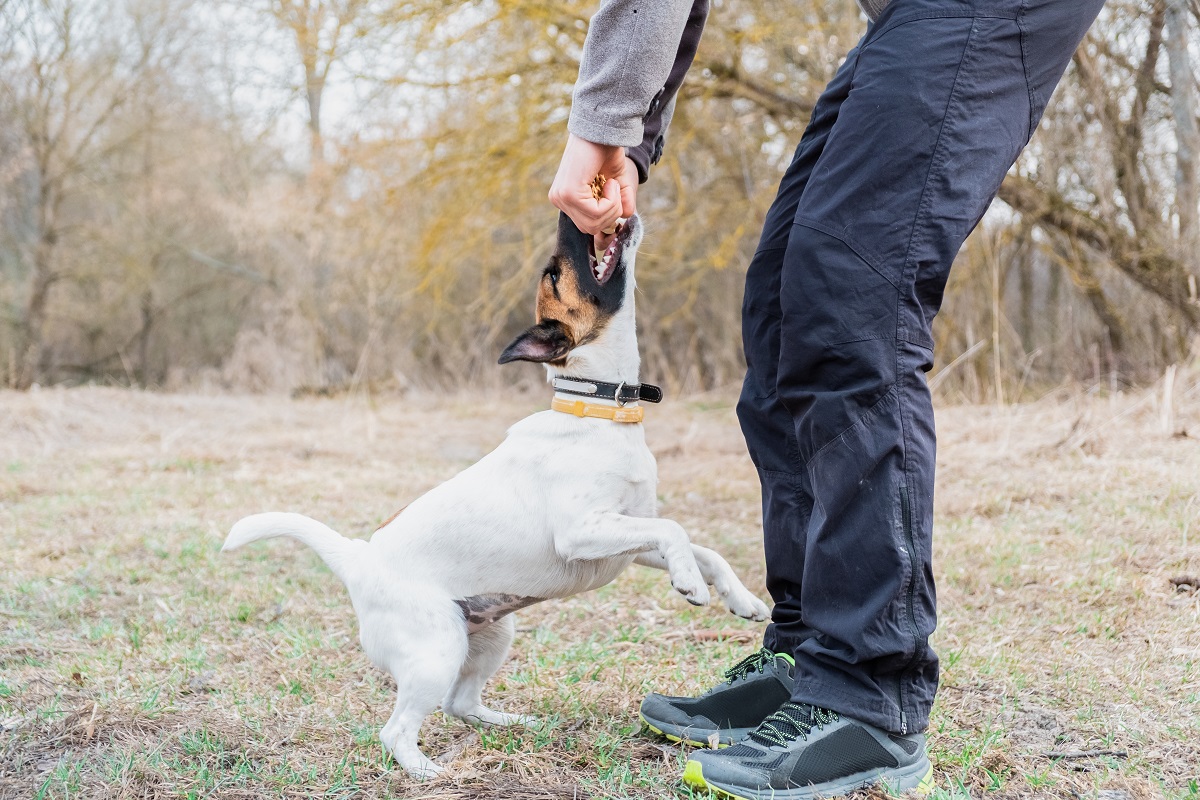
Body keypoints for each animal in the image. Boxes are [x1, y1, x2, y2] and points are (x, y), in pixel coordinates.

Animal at [224, 215, 768, 777]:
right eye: (554, 274)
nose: (572, 220)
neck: (600, 411)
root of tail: (358, 559)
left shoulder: (627, 542)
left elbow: (703, 549)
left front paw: (743, 599)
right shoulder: (583, 532)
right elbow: (675, 531)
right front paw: (691, 585)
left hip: (490, 636)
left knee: (460, 703)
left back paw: (513, 723)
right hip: (437, 650)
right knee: (396, 730)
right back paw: (428, 771)